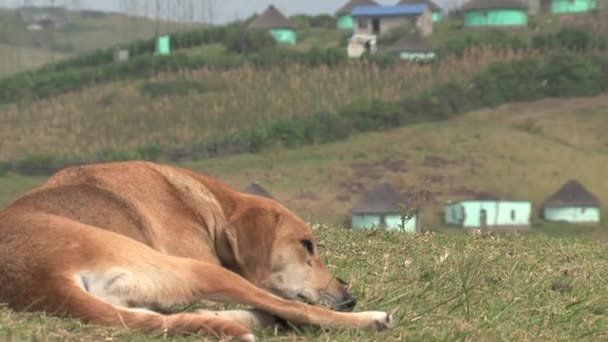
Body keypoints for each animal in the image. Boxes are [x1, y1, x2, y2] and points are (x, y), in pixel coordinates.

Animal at [0, 162, 392, 340]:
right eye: (306, 245)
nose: (348, 299)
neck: (210, 206)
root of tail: (44, 278)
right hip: (195, 269)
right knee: (295, 310)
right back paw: (371, 318)